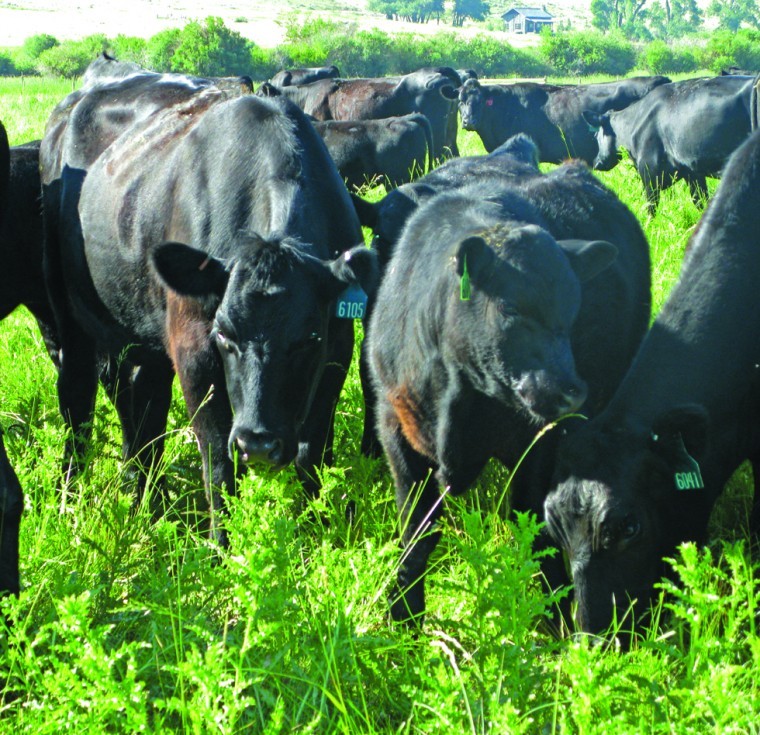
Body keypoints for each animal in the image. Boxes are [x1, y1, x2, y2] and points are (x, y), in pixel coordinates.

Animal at [45, 92, 377, 548]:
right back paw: (71, 503)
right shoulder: (194, 351)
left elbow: (312, 452)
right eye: (224, 334)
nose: (258, 443)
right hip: (70, 319)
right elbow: (218, 460)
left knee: (140, 409)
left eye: (309, 337)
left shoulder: (336, 350)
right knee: (78, 403)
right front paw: (220, 549)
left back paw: (146, 500)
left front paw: (318, 533)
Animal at [367, 158, 651, 625]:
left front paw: (552, 612)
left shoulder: (538, 444)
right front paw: (403, 614)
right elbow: (417, 533)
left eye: (573, 311)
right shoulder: (395, 429)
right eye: (510, 308)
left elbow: (533, 527)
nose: (572, 392)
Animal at [583, 75, 756, 214]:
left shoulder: (649, 172)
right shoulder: (692, 172)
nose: (596, 162)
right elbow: (700, 201)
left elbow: (651, 206)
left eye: (596, 135)